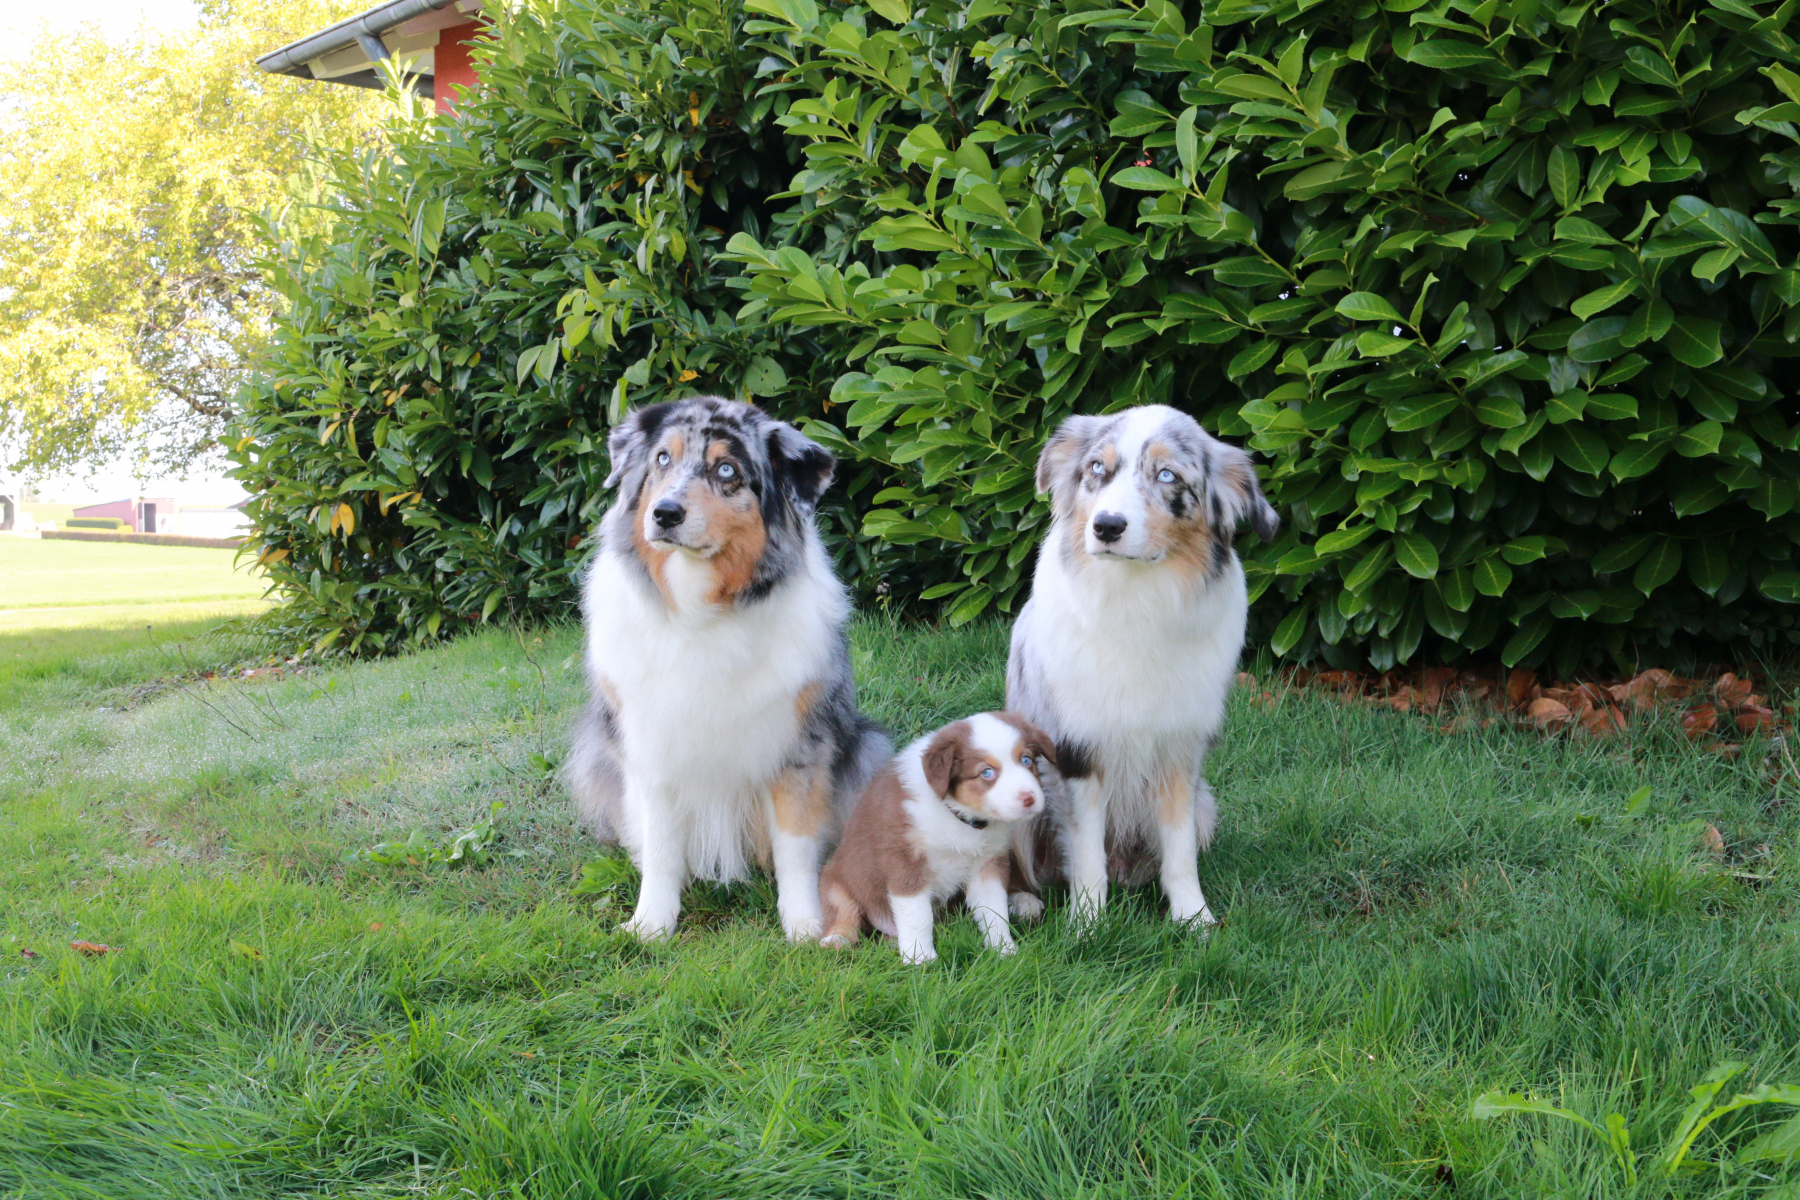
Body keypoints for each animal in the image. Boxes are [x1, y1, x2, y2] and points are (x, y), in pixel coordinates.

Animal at [566, 397, 889, 942]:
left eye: (726, 471)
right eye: (662, 459)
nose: (664, 513)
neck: (701, 611)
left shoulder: (798, 746)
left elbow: (795, 846)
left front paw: (805, 925)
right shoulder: (651, 747)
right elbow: (661, 847)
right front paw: (651, 924)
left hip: (869, 745)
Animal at [818, 711, 1055, 964]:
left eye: (1026, 760)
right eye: (986, 772)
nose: (1029, 798)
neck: (958, 815)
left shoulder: (987, 864)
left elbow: (994, 910)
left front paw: (1003, 950)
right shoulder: (906, 861)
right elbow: (917, 914)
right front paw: (919, 958)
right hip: (836, 881)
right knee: (844, 914)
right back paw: (836, 940)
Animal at [1005, 404, 1278, 929]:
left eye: (1168, 475)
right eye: (1097, 468)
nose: (1107, 526)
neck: (1134, 600)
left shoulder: (1180, 750)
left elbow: (1180, 850)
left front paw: (1195, 920)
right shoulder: (1080, 748)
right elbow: (1086, 854)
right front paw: (1086, 926)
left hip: (1207, 803)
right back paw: (1023, 903)